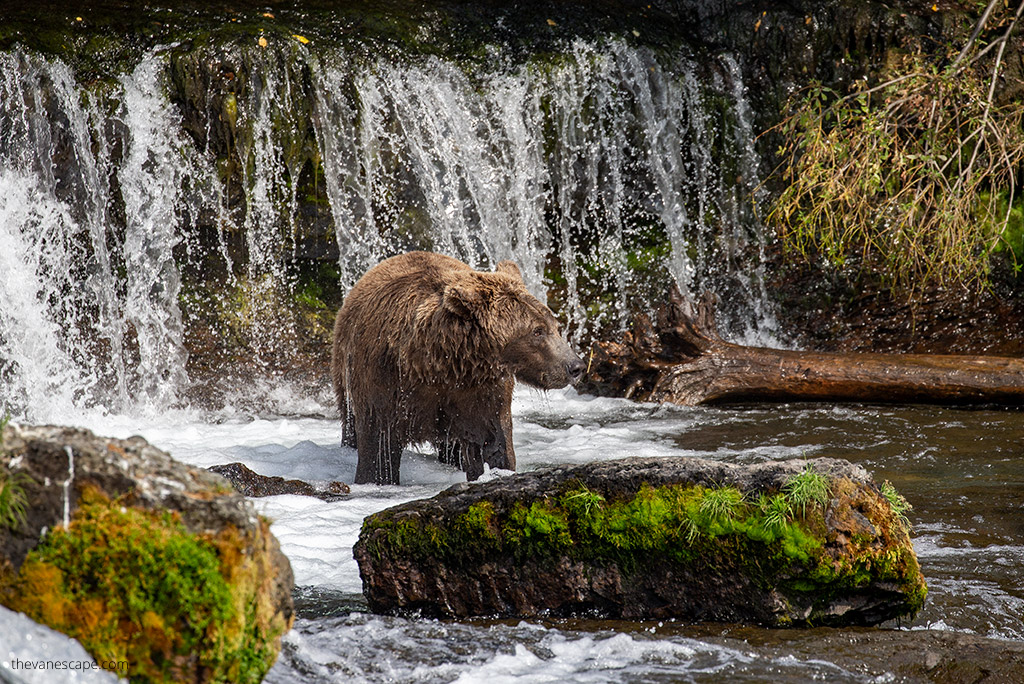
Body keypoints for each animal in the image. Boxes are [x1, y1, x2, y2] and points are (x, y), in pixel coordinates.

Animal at [331, 251, 584, 485]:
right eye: (537, 331)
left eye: (555, 326)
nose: (576, 366)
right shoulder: (385, 381)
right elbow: (379, 446)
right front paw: (376, 477)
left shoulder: (480, 390)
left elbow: (494, 440)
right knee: (350, 421)